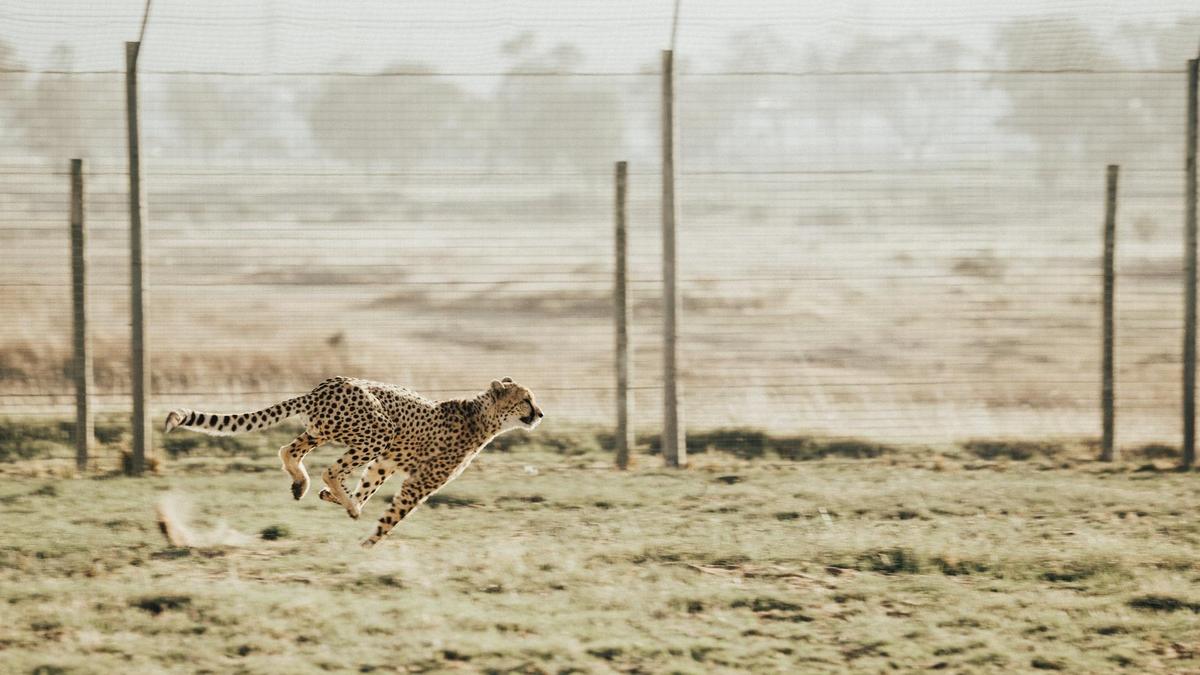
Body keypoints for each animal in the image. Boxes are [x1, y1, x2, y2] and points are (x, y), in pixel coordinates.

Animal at [163, 374, 544, 542]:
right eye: (526, 399)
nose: (540, 413)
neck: (482, 416)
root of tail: (324, 386)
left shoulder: (386, 462)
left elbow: (369, 486)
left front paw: (341, 501)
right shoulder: (420, 481)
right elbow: (393, 515)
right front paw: (367, 542)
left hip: (324, 430)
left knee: (289, 450)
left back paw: (305, 486)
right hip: (378, 430)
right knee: (331, 469)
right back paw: (339, 498)